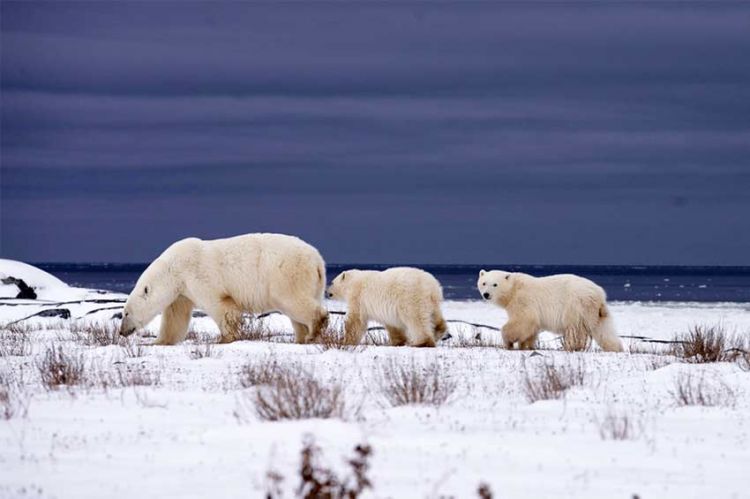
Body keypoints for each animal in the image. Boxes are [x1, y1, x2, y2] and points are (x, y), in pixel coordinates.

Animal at [119, 233, 328, 344]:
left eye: (125, 313)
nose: (121, 332)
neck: (173, 268)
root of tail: (318, 261)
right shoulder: (181, 292)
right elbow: (175, 317)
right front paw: (160, 341)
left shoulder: (197, 276)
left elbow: (221, 305)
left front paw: (226, 338)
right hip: (312, 283)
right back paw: (301, 337)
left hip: (286, 274)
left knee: (292, 301)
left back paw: (314, 331)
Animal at [478, 270, 624, 352]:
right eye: (484, 283)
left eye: (495, 284)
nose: (486, 294)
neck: (514, 289)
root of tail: (599, 294)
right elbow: (530, 329)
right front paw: (526, 345)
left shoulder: (524, 300)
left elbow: (524, 320)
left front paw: (508, 342)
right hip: (596, 312)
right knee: (603, 329)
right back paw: (615, 348)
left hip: (576, 305)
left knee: (574, 329)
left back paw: (571, 347)